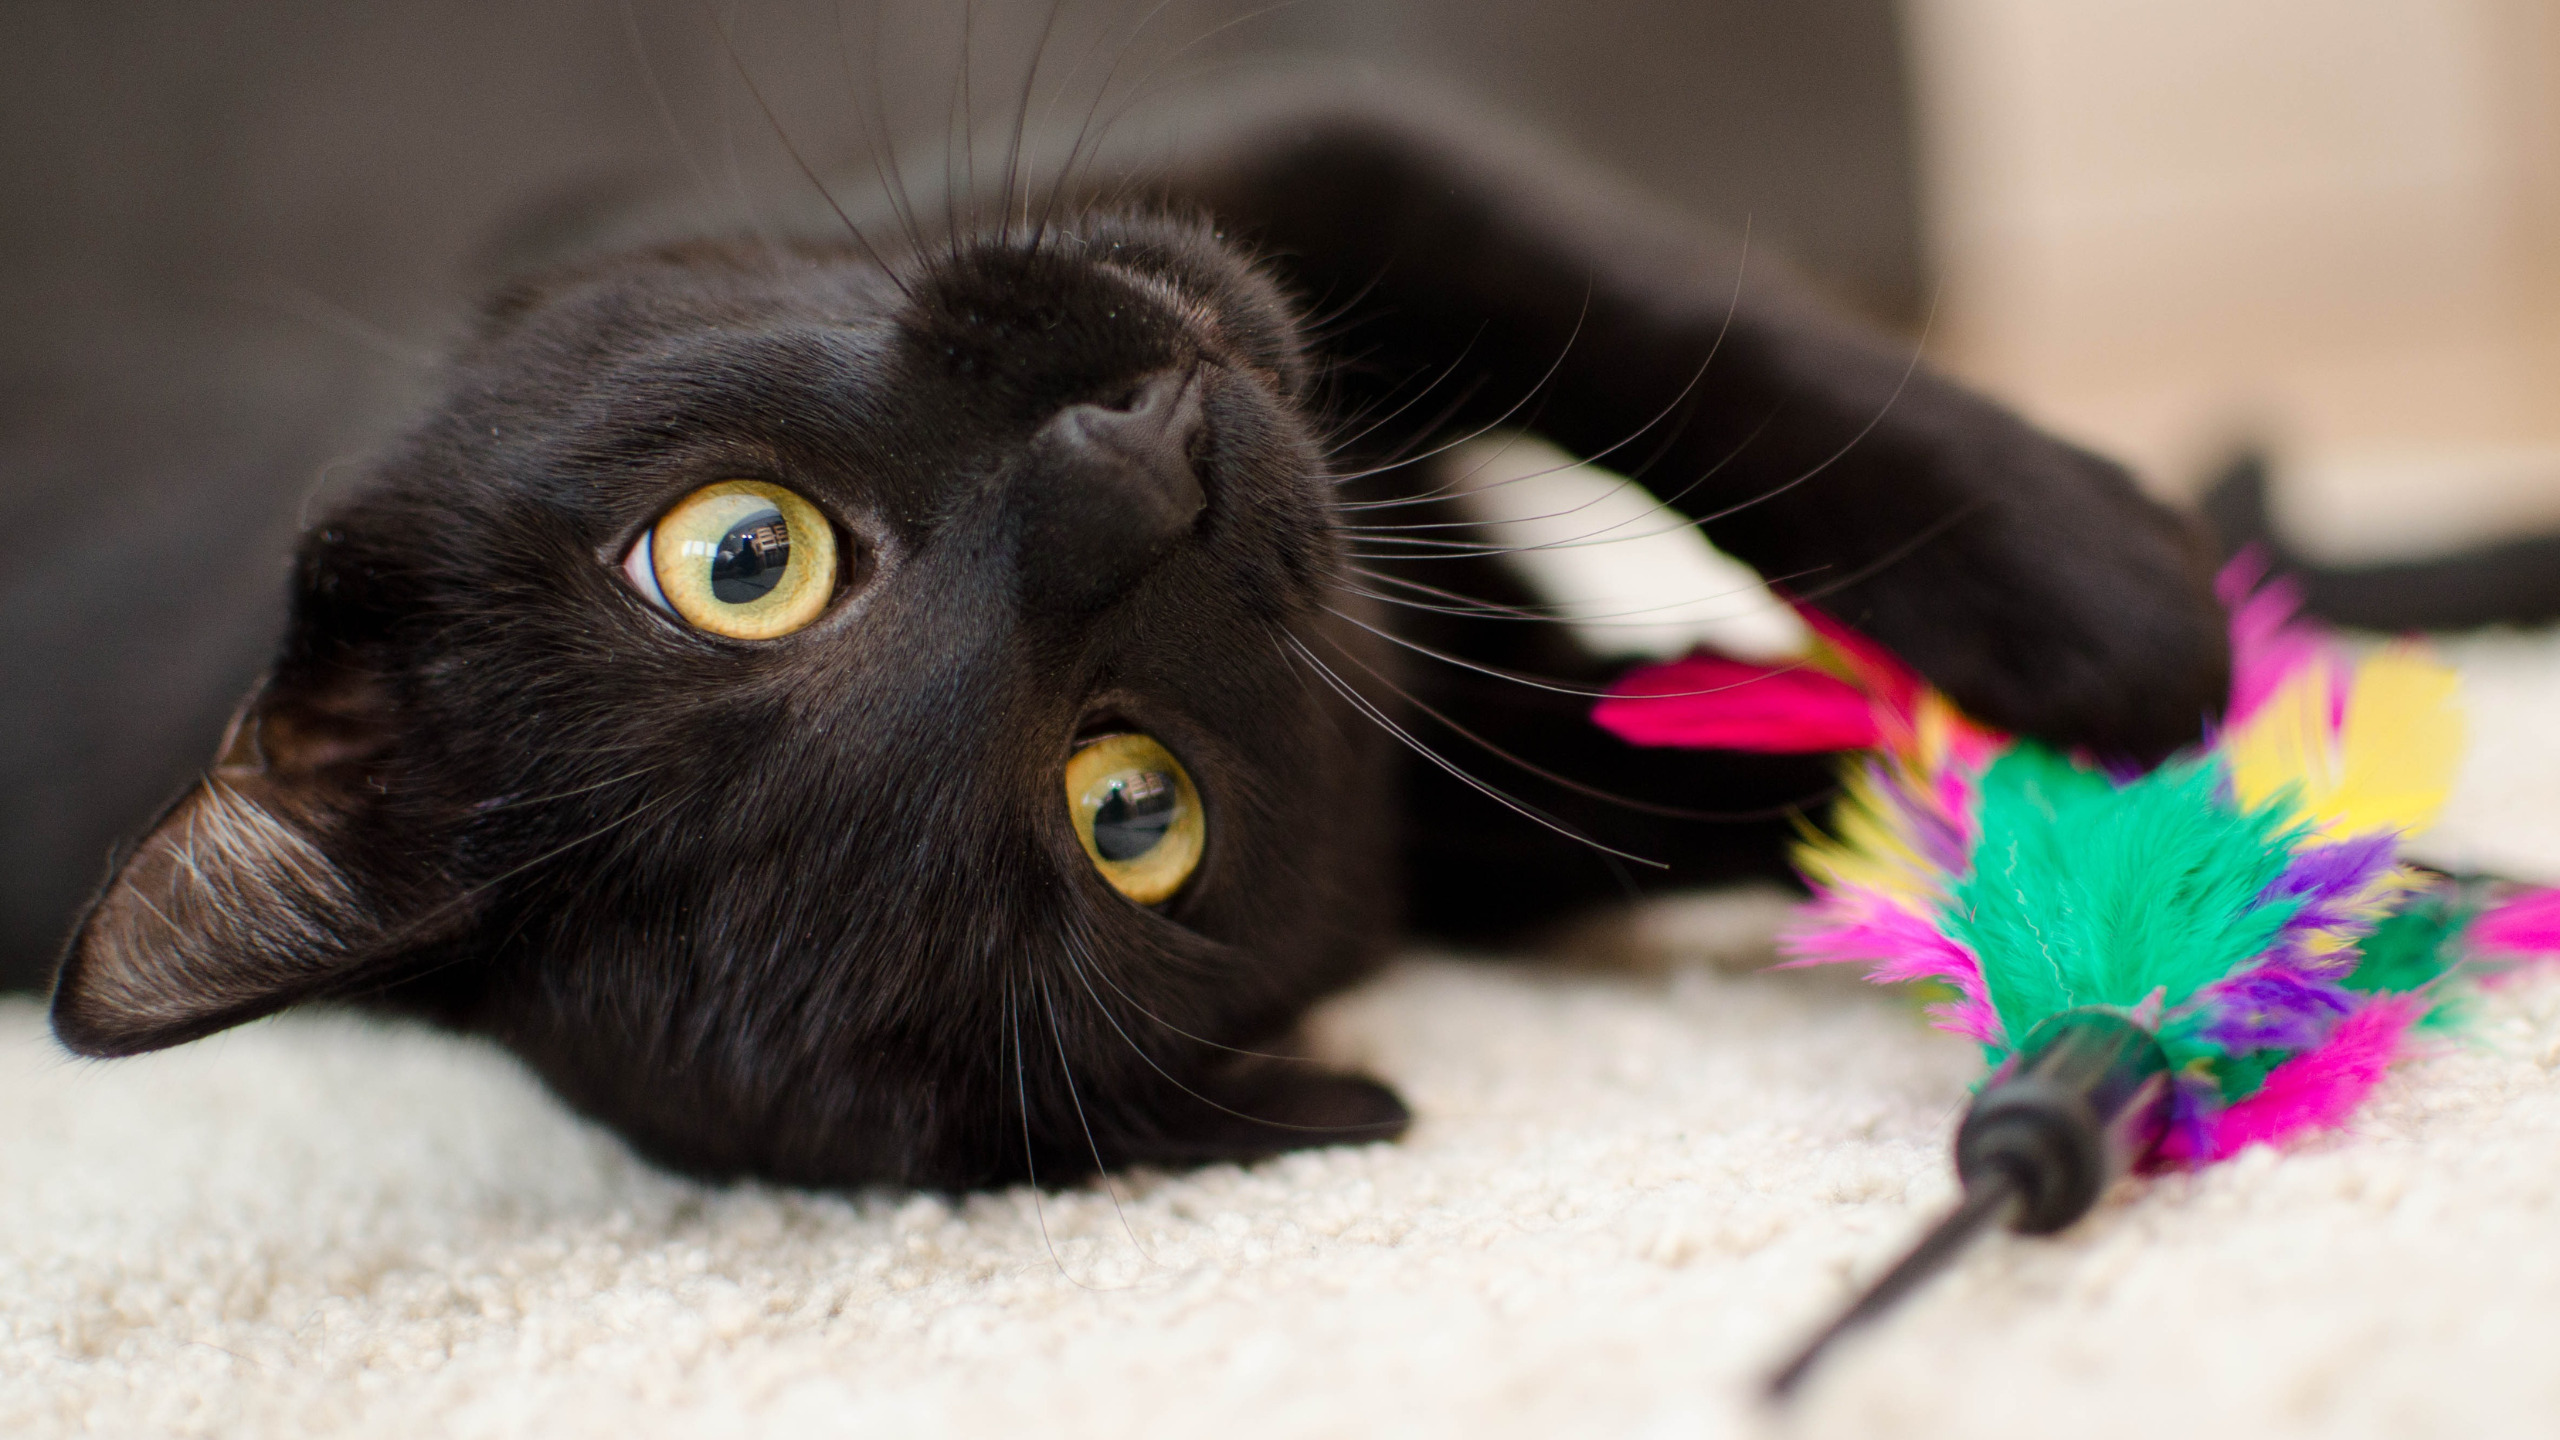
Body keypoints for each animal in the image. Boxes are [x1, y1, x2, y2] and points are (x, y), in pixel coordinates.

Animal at [49, 95, 2232, 1183]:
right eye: (1128, 814)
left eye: (741, 556)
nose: (1140, 473)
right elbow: (1756, 763)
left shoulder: (1311, 149)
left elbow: (1662, 326)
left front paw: (2113, 608)